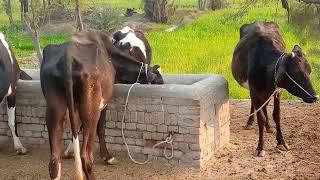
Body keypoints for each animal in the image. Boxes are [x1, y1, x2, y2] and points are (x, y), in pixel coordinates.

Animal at [40, 30, 164, 179]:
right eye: (159, 80)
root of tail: (68, 56)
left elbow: (77, 128)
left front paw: (68, 150)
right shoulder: (103, 104)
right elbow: (102, 128)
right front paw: (107, 157)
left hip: (54, 108)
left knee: (54, 161)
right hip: (91, 110)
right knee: (86, 155)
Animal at [231, 20, 318, 156]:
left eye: (309, 71)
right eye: (295, 73)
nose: (314, 97)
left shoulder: (278, 92)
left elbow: (276, 115)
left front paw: (281, 142)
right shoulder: (255, 91)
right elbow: (260, 118)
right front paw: (260, 147)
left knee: (265, 106)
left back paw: (268, 126)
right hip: (253, 91)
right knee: (255, 105)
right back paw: (250, 122)